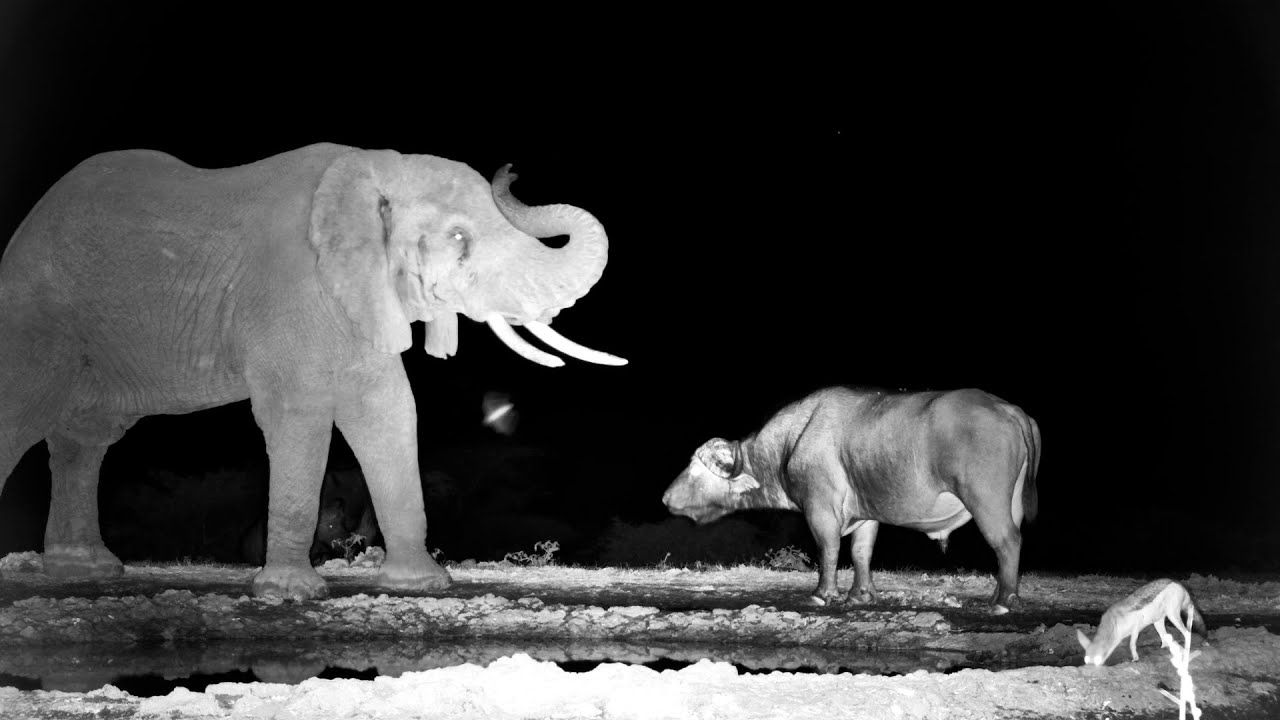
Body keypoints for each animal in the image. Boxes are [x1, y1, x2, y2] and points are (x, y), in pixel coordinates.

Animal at [0, 143, 625, 600]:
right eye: (458, 238)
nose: (513, 170)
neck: (374, 170)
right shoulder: (289, 288)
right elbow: (297, 413)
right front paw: (290, 593)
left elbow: (388, 412)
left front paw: (421, 586)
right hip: (38, 317)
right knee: (26, 411)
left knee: (84, 440)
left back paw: (86, 569)